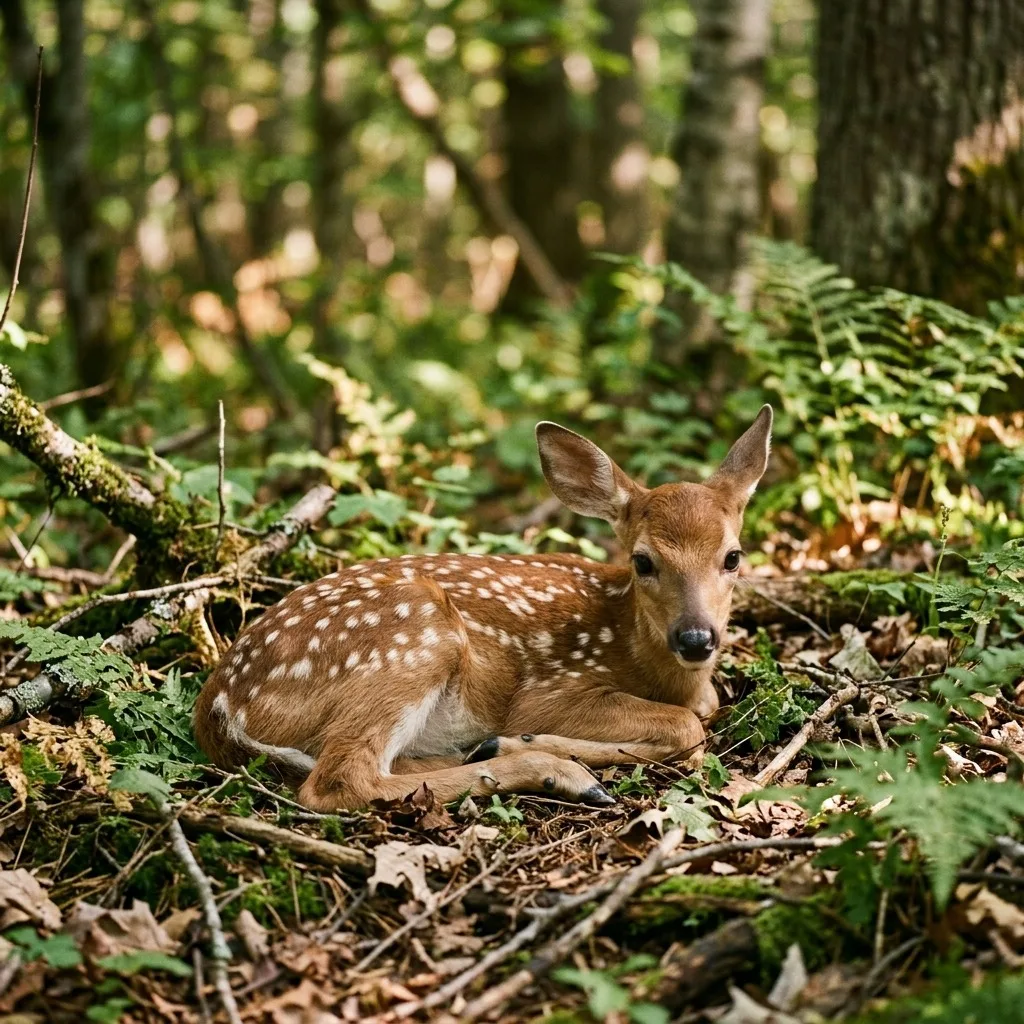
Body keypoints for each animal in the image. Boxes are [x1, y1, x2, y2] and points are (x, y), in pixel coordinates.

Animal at [193, 405, 773, 811]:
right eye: (643, 561)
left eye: (733, 557)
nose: (696, 638)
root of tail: (219, 706)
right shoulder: (552, 689)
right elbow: (688, 727)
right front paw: (534, 742)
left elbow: (702, 712)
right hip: (413, 637)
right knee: (340, 780)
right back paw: (556, 770)